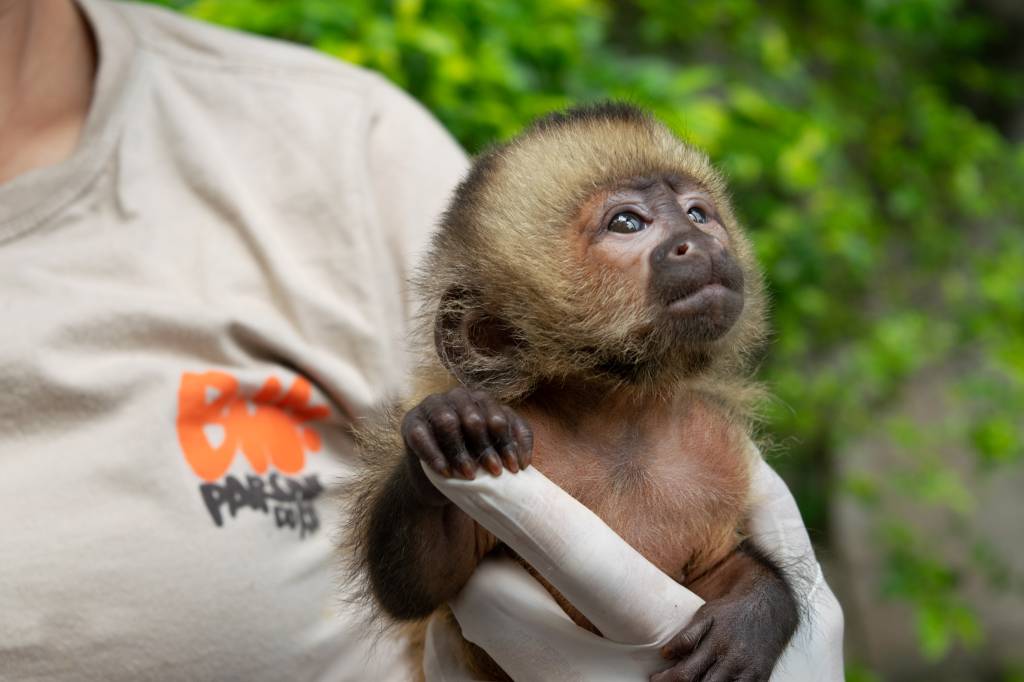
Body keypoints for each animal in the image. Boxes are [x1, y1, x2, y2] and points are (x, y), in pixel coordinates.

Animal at [345, 102, 799, 682]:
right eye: (626, 223)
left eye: (698, 214)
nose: (698, 242)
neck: (619, 425)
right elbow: (418, 581)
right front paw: (455, 427)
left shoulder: (716, 450)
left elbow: (728, 567)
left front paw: (750, 620)